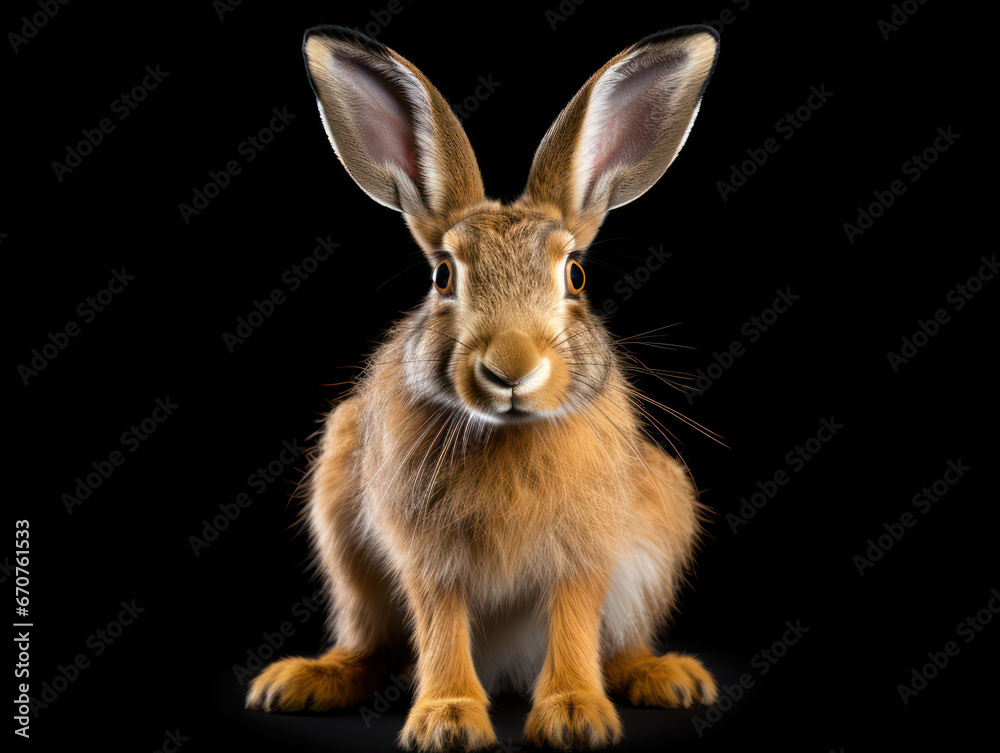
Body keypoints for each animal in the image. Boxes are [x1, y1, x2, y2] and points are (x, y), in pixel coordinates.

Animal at [246, 23, 721, 751]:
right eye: (443, 276)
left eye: (576, 275)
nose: (512, 366)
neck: (509, 432)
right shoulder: (428, 555)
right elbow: (441, 622)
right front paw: (447, 720)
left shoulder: (587, 550)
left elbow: (575, 620)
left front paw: (575, 714)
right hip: (343, 538)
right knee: (371, 642)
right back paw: (303, 681)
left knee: (617, 644)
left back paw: (665, 676)